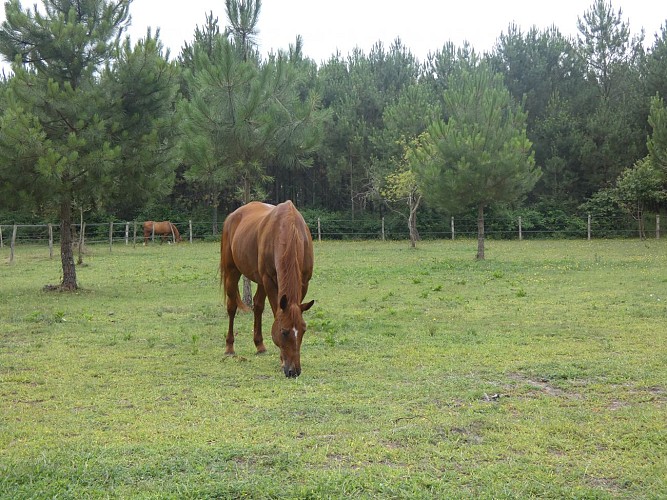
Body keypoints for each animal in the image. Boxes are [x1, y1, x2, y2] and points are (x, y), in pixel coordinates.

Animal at [221, 201, 314, 378]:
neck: (288, 229)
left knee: (257, 306)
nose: (294, 371)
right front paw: (281, 360)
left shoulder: (304, 282)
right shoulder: (269, 280)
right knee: (232, 307)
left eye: (304, 330)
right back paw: (229, 348)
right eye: (284, 332)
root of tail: (232, 216)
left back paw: (260, 345)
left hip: (260, 280)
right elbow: (276, 313)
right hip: (232, 272)